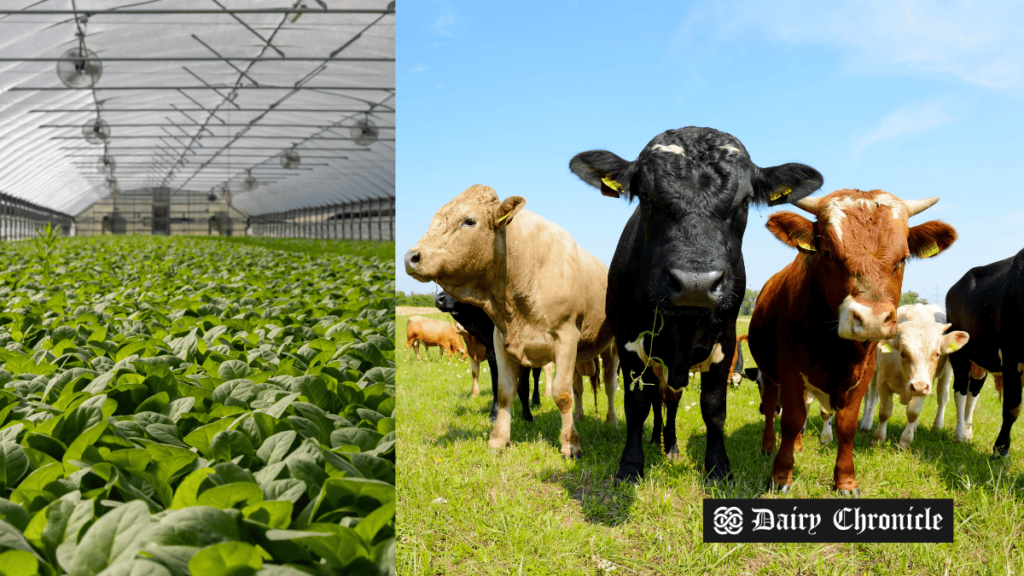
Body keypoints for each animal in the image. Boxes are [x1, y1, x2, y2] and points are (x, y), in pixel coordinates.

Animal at [405, 184, 614, 457]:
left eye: (469, 221)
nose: (411, 257)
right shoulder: (501, 341)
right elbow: (505, 391)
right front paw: (498, 439)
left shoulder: (566, 338)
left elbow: (562, 393)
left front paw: (570, 444)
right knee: (579, 386)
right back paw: (579, 416)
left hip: (612, 348)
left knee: (609, 384)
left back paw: (612, 420)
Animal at [569, 127, 823, 481]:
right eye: (646, 197)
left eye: (744, 201)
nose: (695, 284)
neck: (683, 325)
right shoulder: (628, 340)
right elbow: (637, 404)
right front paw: (631, 465)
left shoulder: (725, 341)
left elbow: (714, 407)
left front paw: (717, 466)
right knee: (658, 398)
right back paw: (656, 438)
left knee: (671, 399)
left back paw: (670, 445)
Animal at [749, 188, 954, 494]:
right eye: (828, 253)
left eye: (903, 258)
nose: (871, 319)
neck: (835, 348)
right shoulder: (789, 369)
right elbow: (792, 418)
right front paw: (780, 476)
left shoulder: (864, 373)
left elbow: (847, 425)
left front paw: (845, 480)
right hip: (769, 372)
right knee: (773, 401)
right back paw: (768, 445)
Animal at [856, 303, 966, 446]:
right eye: (903, 353)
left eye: (937, 354)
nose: (918, 386)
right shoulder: (883, 382)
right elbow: (884, 412)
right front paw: (878, 439)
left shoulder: (925, 385)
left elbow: (913, 413)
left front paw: (905, 441)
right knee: (872, 396)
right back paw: (866, 422)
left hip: (946, 371)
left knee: (942, 396)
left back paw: (935, 426)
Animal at [942, 249, 1024, 455]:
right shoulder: (1012, 357)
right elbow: (1012, 409)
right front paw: (1001, 449)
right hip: (960, 355)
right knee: (961, 392)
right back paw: (960, 434)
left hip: (981, 363)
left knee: (973, 395)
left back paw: (968, 432)